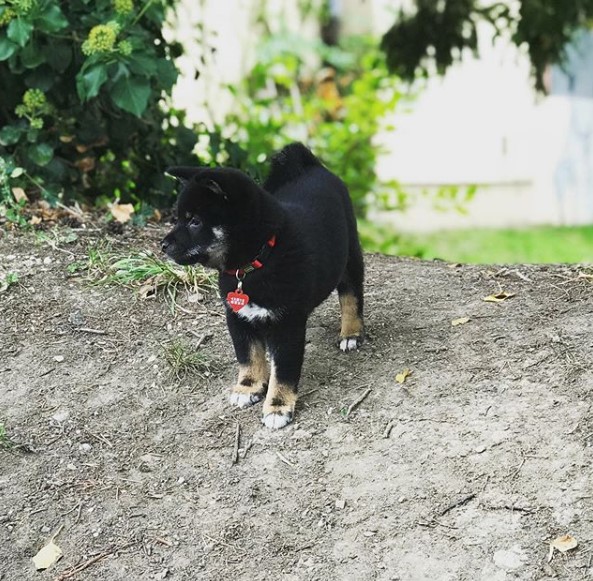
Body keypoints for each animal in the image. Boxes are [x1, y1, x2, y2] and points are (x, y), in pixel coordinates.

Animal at [162, 143, 366, 428]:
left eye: (195, 222)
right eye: (179, 218)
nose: (163, 245)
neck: (253, 264)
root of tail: (311, 166)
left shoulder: (287, 325)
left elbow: (283, 372)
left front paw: (278, 406)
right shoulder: (238, 317)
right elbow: (249, 357)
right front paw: (248, 387)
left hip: (349, 256)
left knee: (351, 296)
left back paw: (350, 333)